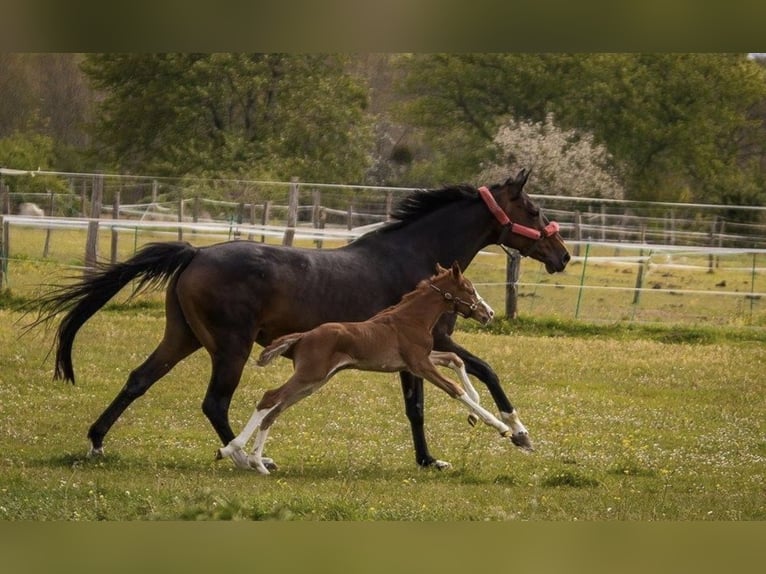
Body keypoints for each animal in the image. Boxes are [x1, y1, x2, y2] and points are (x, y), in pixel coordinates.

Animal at [216, 264, 528, 474]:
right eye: (469, 289)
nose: (488, 313)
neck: (410, 318)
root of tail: (304, 336)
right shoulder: (420, 364)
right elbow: (455, 387)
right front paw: (502, 427)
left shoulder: (421, 359)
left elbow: (455, 359)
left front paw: (476, 409)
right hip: (309, 375)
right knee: (269, 399)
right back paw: (233, 450)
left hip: (313, 382)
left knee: (275, 410)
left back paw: (257, 462)